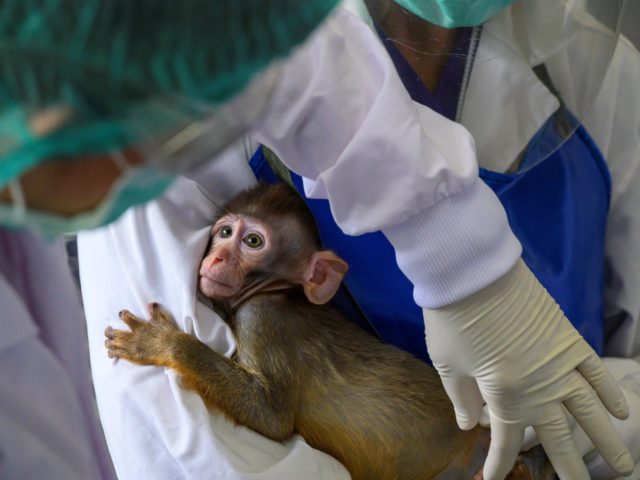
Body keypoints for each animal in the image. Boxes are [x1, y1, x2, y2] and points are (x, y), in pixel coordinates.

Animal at [104, 182, 552, 478]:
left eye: (252, 241)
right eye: (225, 232)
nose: (214, 259)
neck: (282, 293)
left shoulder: (261, 319)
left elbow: (271, 418)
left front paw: (163, 343)